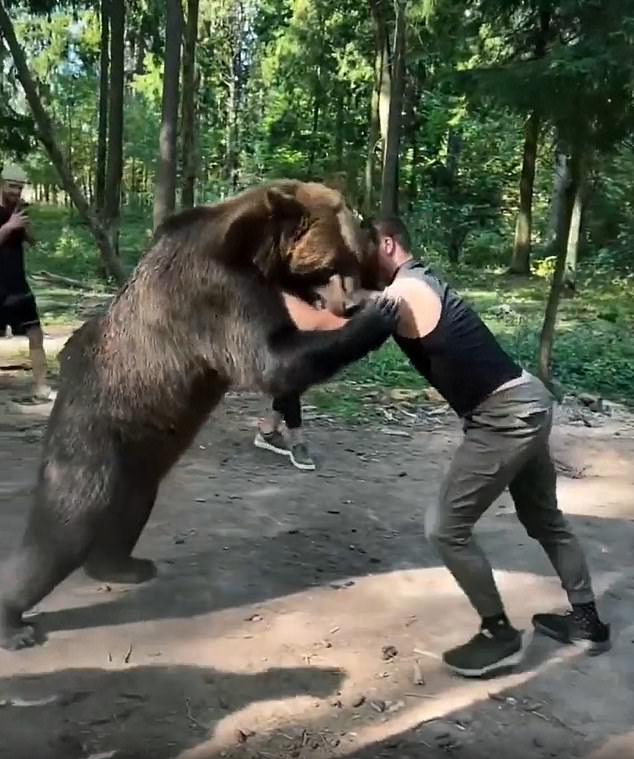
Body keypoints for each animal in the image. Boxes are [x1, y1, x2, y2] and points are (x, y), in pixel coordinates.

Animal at [0, 179, 398, 650]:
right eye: (334, 262)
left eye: (354, 254)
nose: (351, 301)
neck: (254, 250)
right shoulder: (215, 293)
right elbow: (273, 359)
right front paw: (381, 314)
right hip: (91, 442)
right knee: (63, 529)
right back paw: (15, 624)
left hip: (139, 460)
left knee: (130, 509)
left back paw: (124, 566)